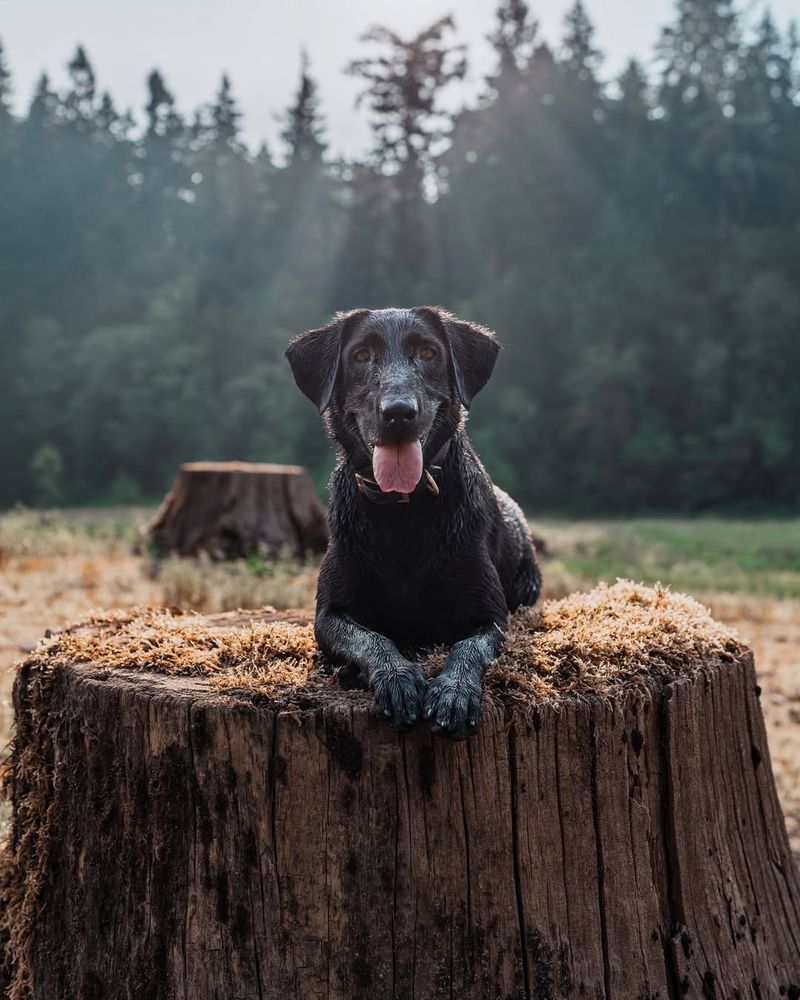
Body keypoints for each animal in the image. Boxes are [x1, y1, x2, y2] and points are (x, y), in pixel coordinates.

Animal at [284, 308, 540, 740]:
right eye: (361, 356)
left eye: (429, 352)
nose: (399, 412)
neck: (403, 508)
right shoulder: (329, 615)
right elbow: (369, 639)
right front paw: (396, 677)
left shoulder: (492, 617)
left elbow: (468, 648)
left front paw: (454, 692)